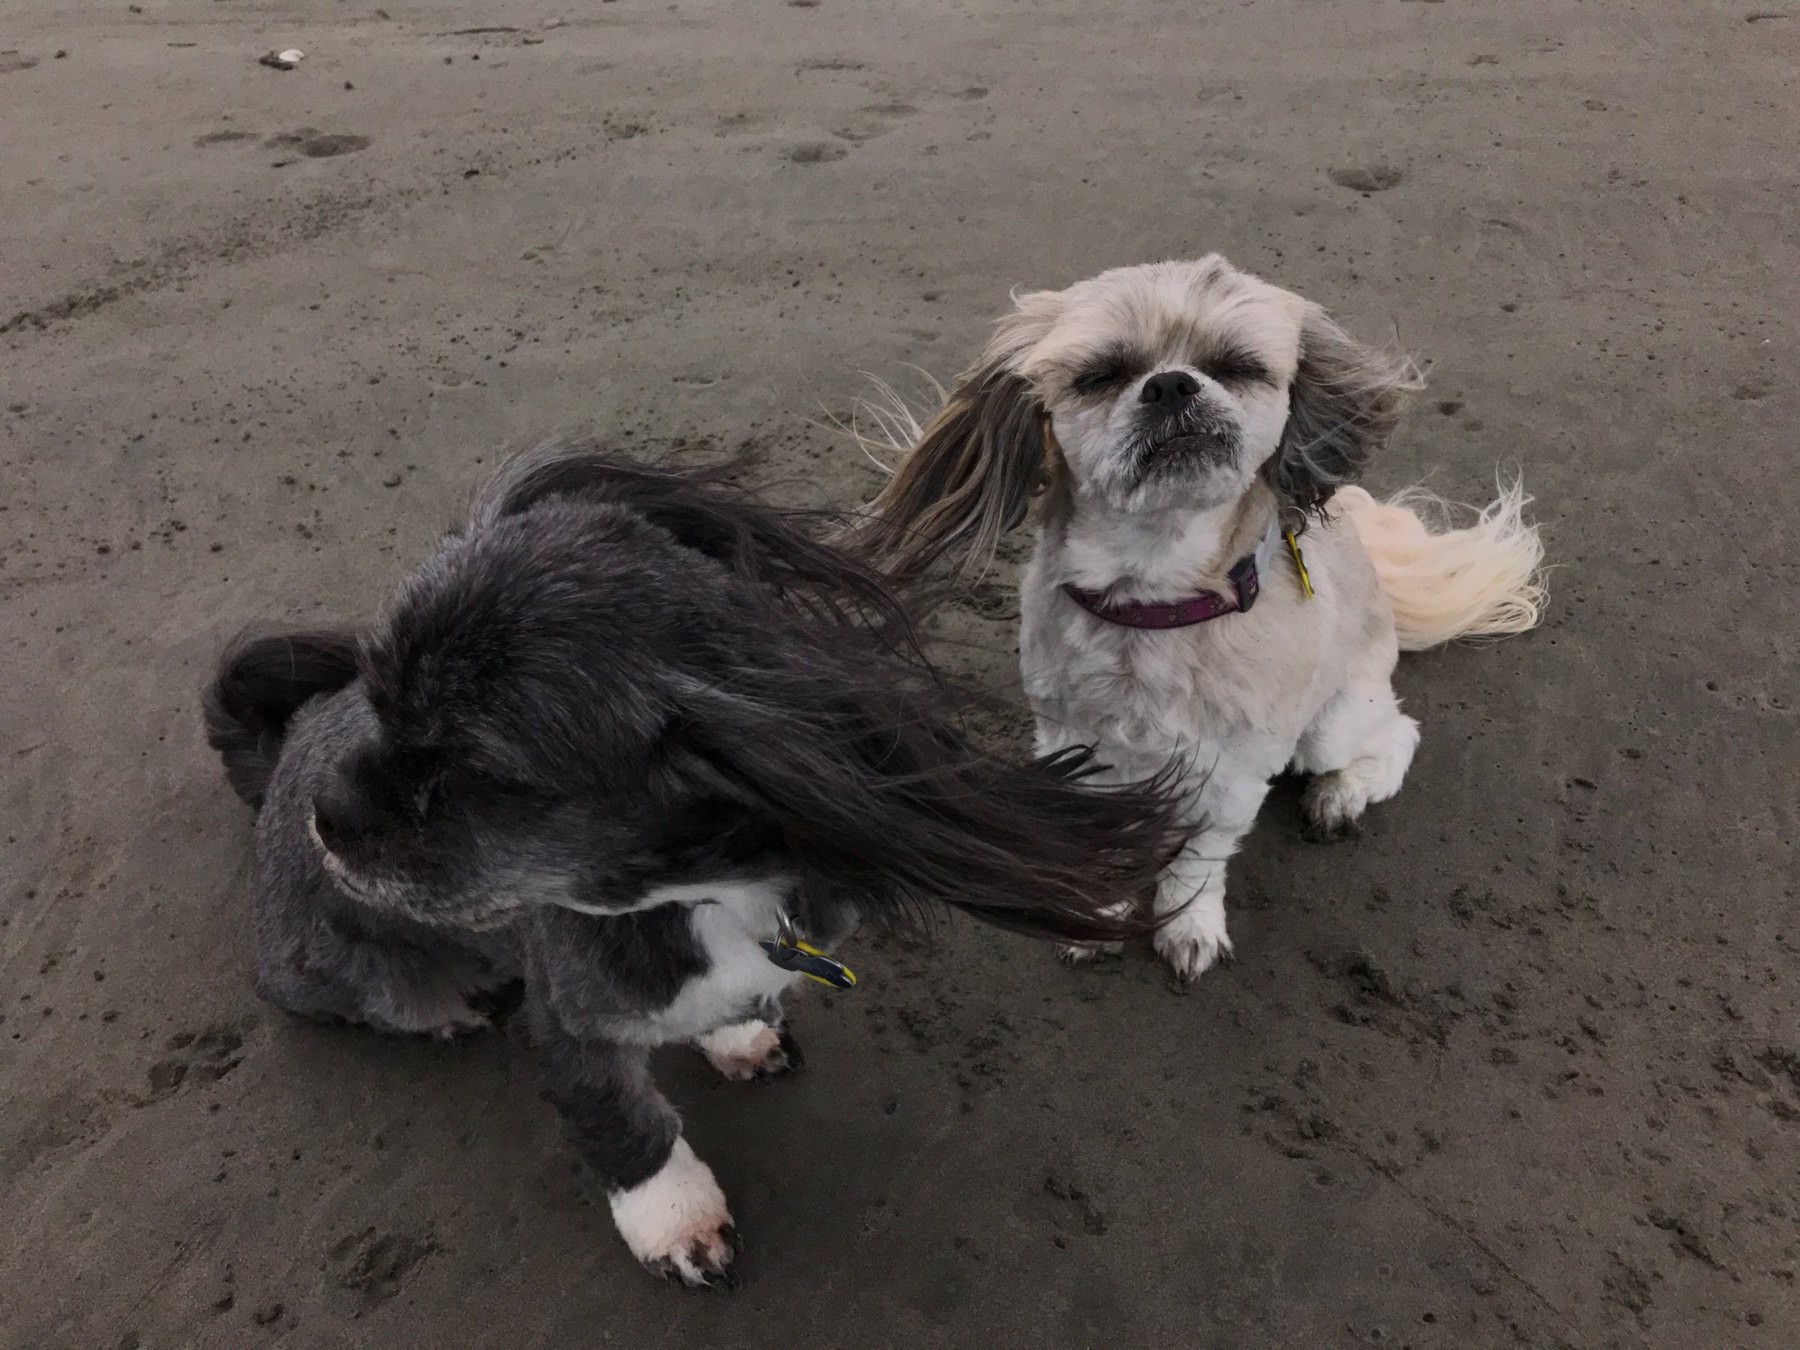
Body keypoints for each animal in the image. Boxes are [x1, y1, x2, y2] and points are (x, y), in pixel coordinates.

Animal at [204, 444, 1180, 1288]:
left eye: (475, 769)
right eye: (378, 701)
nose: (329, 815)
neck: (699, 894)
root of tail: (277, 769)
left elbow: (733, 1007)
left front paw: (738, 1036)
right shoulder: (570, 1018)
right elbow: (622, 1123)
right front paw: (674, 1217)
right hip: (332, 971)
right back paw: (445, 1010)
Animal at [856, 255, 1548, 986]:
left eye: (1237, 366)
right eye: (1099, 376)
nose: (1171, 384)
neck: (1155, 600)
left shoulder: (1235, 771)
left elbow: (1200, 858)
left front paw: (1187, 924)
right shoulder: (1076, 742)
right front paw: (1100, 911)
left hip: (1330, 724)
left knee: (1396, 738)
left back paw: (1340, 796)